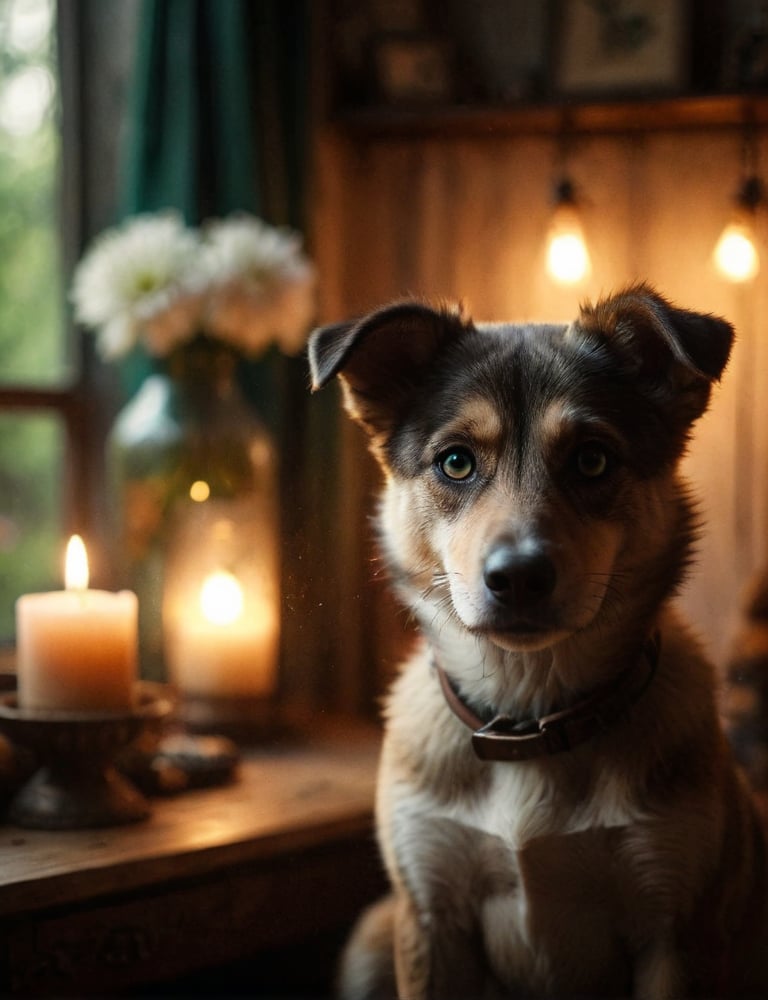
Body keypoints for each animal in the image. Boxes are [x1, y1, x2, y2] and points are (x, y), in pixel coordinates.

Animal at [308, 286, 768, 996]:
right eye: (456, 461)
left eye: (592, 459)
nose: (518, 576)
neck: (527, 719)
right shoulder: (429, 916)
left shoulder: (674, 929)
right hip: (370, 938)